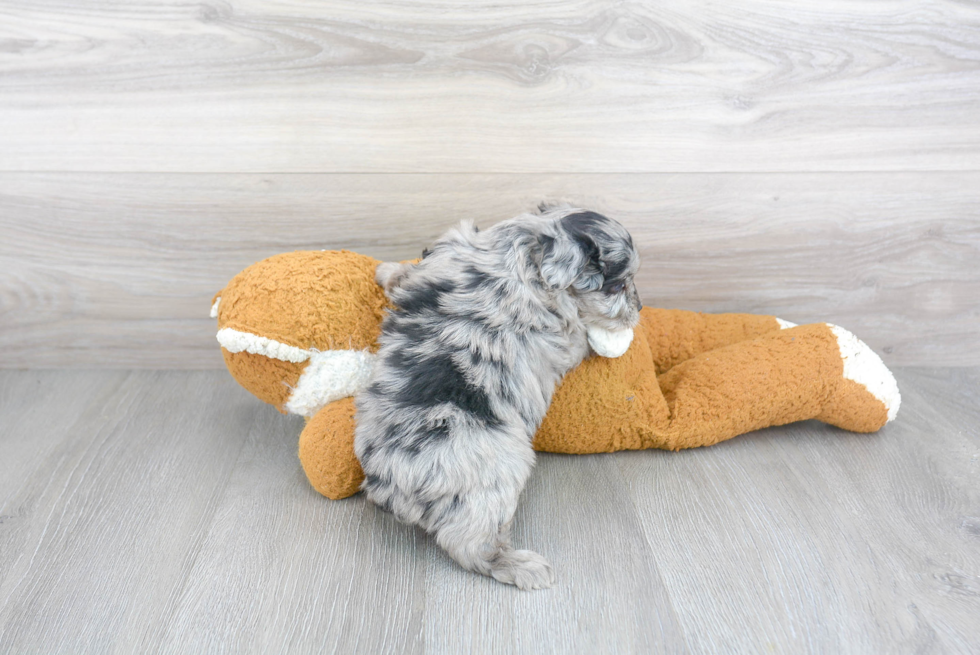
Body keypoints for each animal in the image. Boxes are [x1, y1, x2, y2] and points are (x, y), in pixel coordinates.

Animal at [356, 208, 640, 592]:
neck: (523, 252)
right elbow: (578, 333)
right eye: (617, 286)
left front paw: (387, 271)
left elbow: (408, 274)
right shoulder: (563, 331)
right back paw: (523, 567)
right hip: (493, 479)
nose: (640, 308)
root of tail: (386, 485)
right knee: (469, 545)